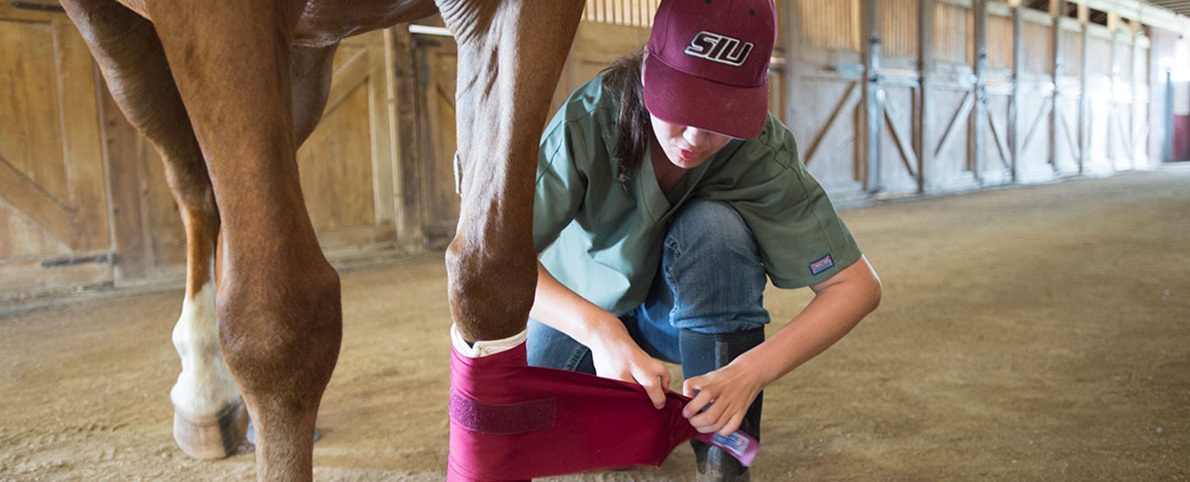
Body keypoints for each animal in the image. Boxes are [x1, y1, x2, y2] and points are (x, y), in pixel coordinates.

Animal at [60, 0, 590, 476]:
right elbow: (277, 328)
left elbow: (488, 279)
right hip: (116, 34)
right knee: (194, 184)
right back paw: (204, 390)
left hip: (306, 53)